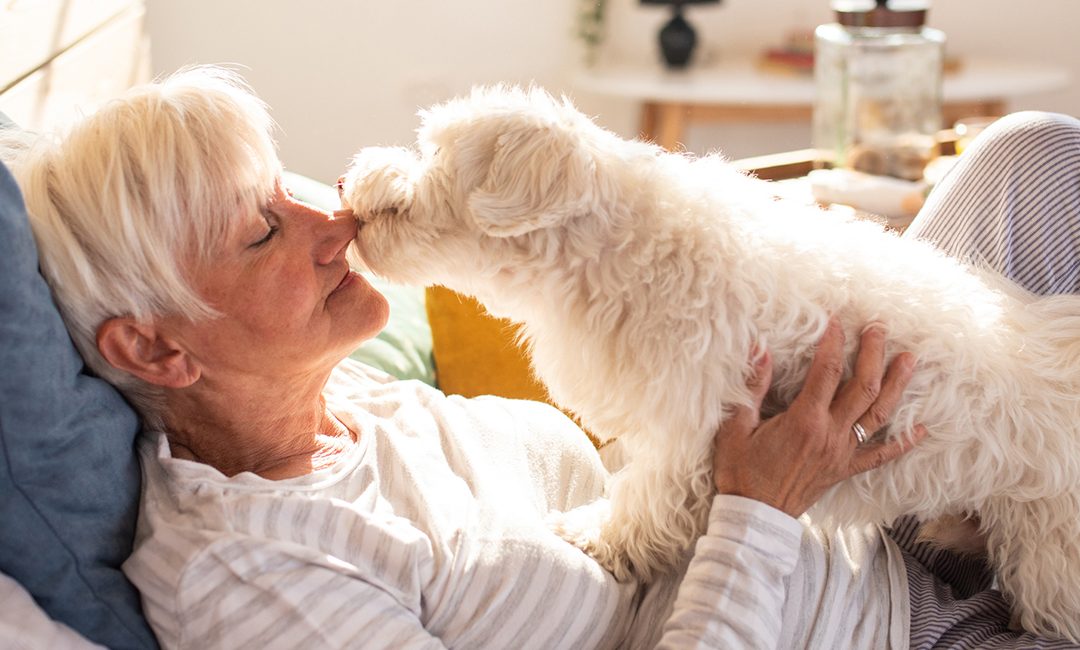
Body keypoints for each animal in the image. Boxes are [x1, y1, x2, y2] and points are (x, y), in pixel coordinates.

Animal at [341, 85, 1080, 639]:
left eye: (437, 154)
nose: (350, 176)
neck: (611, 253)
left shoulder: (689, 422)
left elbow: (646, 501)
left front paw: (598, 540)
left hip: (1052, 559)